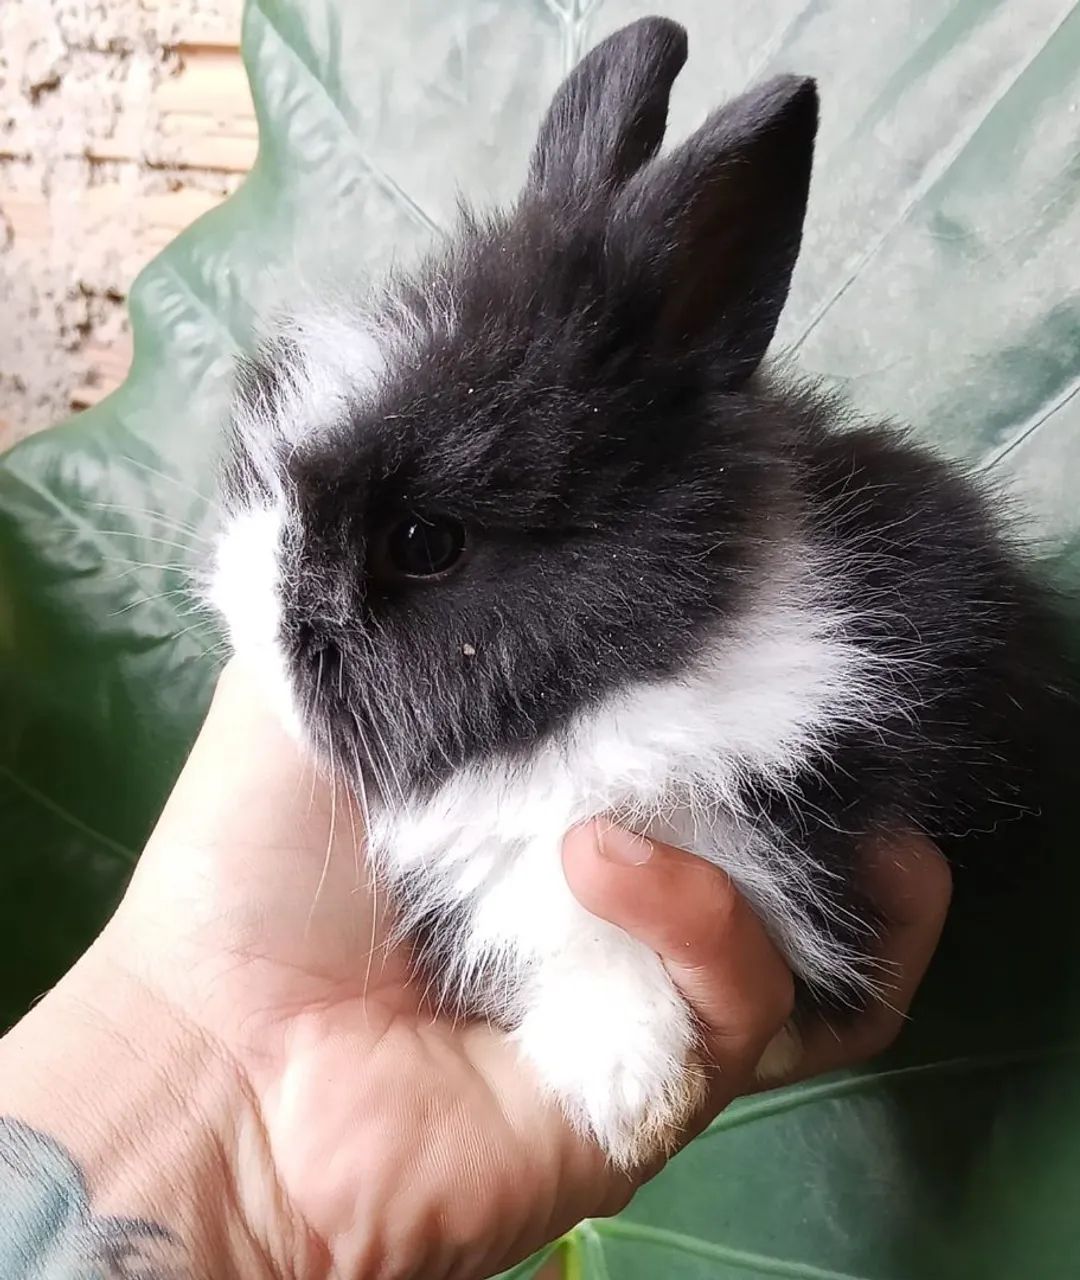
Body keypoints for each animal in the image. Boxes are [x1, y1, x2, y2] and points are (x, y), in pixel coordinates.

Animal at [208, 16, 1073, 1167]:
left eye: (424, 541)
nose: (254, 636)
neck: (613, 699)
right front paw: (625, 1085)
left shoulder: (788, 836)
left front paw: (626, 1087)